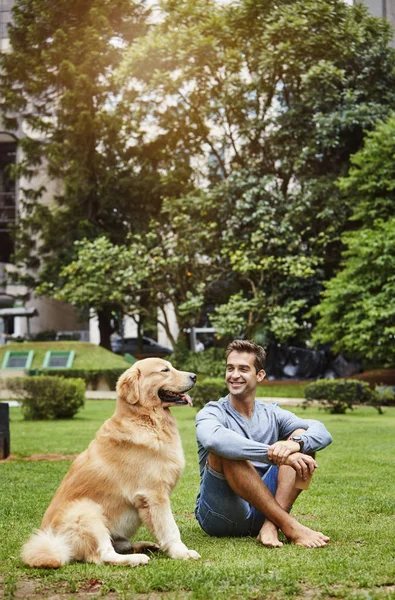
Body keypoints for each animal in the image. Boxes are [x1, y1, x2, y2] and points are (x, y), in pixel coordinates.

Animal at [21, 358, 201, 568]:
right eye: (164, 370)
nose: (194, 376)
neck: (146, 419)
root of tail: (54, 542)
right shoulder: (154, 495)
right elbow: (171, 528)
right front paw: (182, 553)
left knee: (120, 546)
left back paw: (144, 546)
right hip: (87, 511)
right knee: (104, 555)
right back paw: (136, 558)